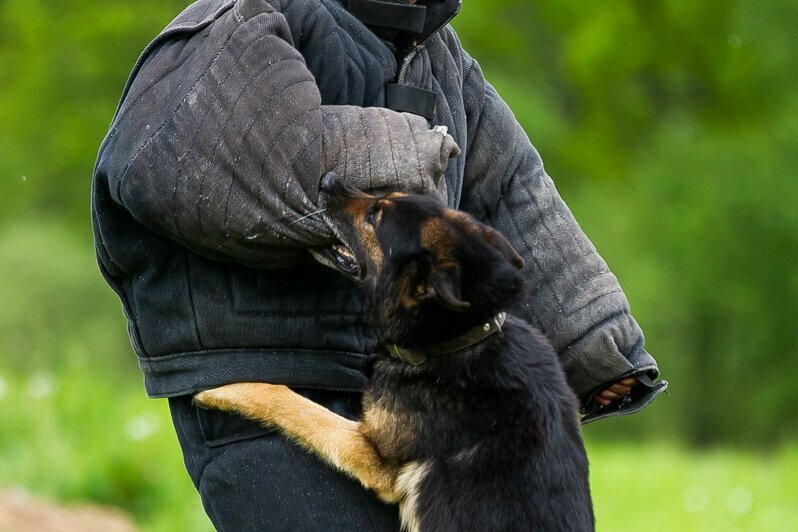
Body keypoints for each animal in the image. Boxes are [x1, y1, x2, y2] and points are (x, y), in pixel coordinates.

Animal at [195, 172, 592, 528]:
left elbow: (299, 407)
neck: (463, 338)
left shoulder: (376, 458)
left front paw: (228, 389)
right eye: (384, 198)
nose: (328, 179)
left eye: (376, 215)